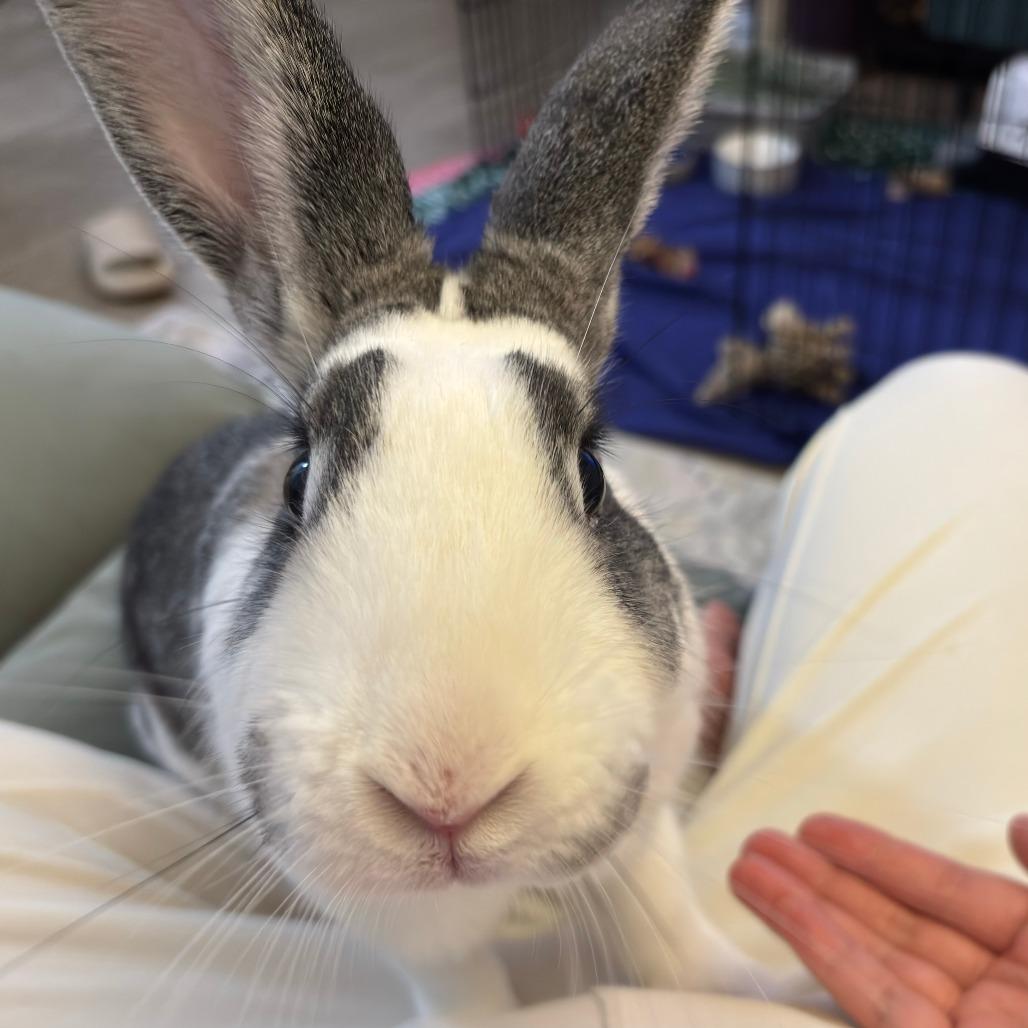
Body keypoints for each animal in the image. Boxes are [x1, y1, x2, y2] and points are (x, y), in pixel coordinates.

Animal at [38, 0, 772, 1018]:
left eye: (591, 472)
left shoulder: (645, 816)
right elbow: (463, 984)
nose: (447, 782)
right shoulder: (398, 922)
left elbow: (673, 939)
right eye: (300, 476)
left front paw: (775, 985)